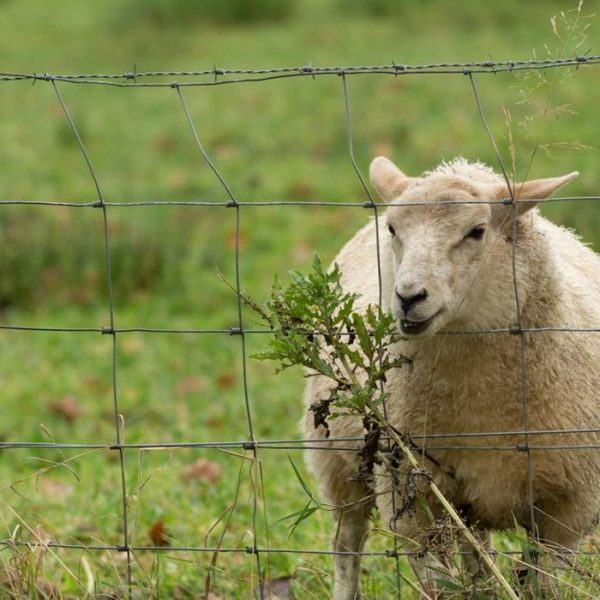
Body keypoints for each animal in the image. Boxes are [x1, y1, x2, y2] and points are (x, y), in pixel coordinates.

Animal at [302, 157, 600, 596]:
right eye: (393, 229)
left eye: (476, 231)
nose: (408, 297)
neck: (485, 401)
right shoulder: (410, 496)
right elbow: (441, 586)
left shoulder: (567, 510)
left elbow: (540, 585)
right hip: (338, 461)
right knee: (347, 544)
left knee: (477, 557)